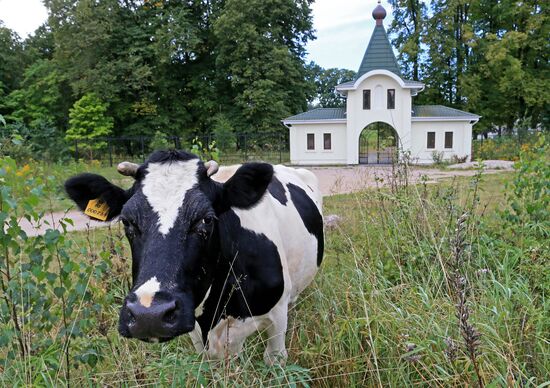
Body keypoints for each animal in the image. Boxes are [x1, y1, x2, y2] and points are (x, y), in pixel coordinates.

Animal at [64, 150, 324, 366]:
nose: (149, 315)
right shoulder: (197, 333)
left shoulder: (277, 317)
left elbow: (275, 359)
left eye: (206, 219)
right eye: (127, 221)